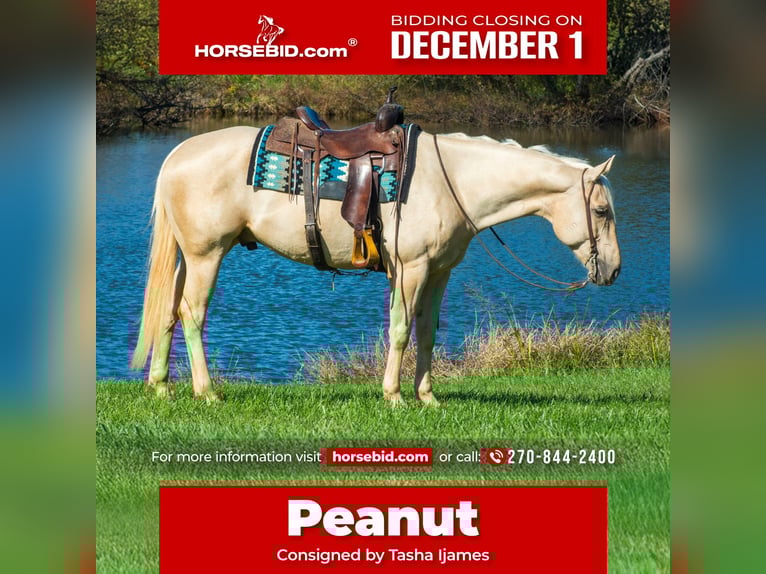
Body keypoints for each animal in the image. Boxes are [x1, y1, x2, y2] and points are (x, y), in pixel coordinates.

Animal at [130, 126, 621, 403]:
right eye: (601, 211)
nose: (614, 271)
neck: (452, 181)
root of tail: (177, 155)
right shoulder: (410, 269)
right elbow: (401, 330)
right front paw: (394, 396)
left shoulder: (439, 272)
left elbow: (427, 332)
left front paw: (428, 398)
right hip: (207, 255)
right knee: (192, 314)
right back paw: (206, 392)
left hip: (188, 257)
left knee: (168, 311)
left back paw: (162, 386)